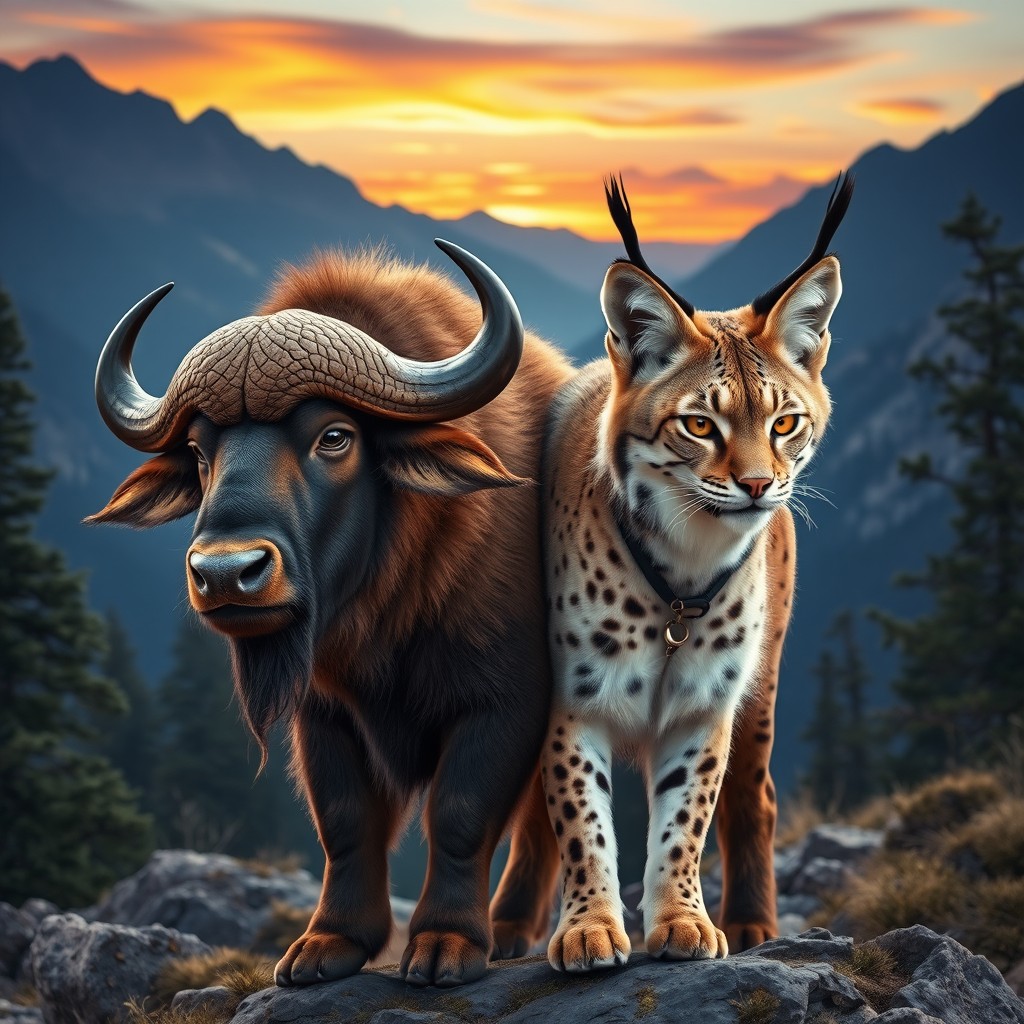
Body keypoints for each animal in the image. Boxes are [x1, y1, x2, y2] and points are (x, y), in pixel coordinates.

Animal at [88, 241, 573, 987]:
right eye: (199, 451)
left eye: (335, 436)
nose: (225, 573)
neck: (391, 609)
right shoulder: (323, 713)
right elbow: (344, 821)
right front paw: (329, 943)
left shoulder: (507, 703)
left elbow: (460, 813)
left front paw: (447, 943)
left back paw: (518, 929)